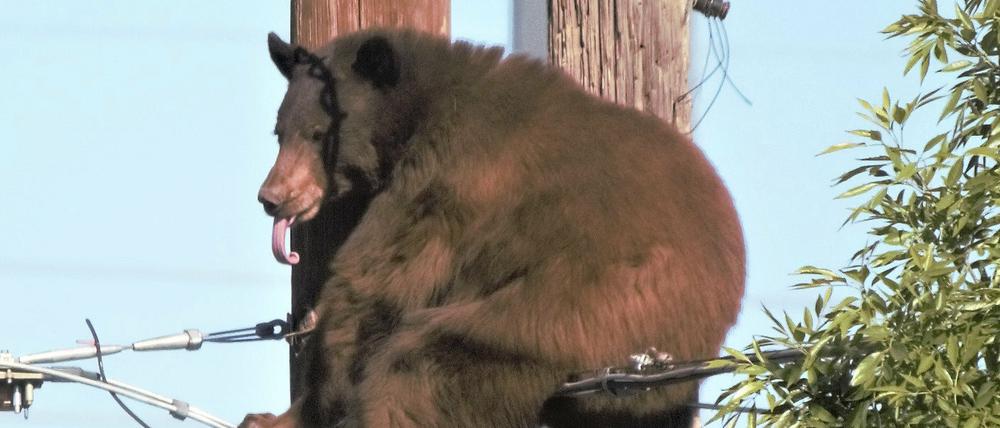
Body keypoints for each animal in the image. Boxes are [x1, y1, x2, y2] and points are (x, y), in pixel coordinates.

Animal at [243, 29, 745, 428]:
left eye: (317, 133)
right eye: (279, 132)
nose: (271, 197)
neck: (419, 108)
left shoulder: (448, 176)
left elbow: (377, 281)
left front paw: (291, 412)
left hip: (589, 310)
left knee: (422, 368)